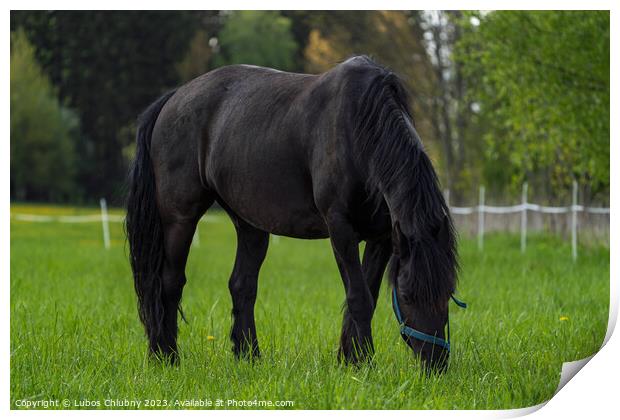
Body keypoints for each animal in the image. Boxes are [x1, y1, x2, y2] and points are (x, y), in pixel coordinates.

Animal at [126, 55, 458, 370]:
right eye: (407, 295)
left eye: (448, 292)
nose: (436, 363)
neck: (359, 131)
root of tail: (174, 97)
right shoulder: (341, 228)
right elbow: (359, 296)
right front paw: (363, 363)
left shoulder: (382, 237)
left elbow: (369, 295)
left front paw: (350, 357)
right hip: (179, 218)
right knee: (169, 282)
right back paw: (165, 356)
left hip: (250, 225)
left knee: (242, 285)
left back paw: (248, 356)